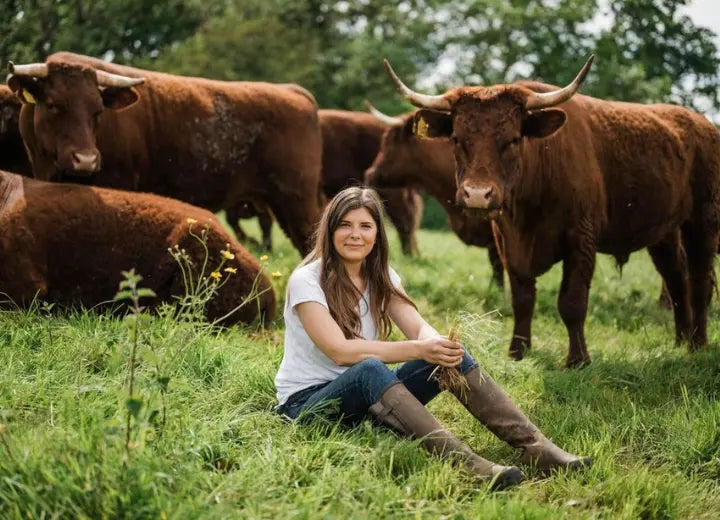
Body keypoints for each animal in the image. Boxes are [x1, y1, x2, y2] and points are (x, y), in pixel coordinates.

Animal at [386, 55, 720, 366]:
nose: (477, 195)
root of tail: (703, 125)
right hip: (665, 232)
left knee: (699, 280)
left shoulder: (581, 239)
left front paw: (578, 359)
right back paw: (680, 340)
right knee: (676, 278)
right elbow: (522, 300)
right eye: (456, 139)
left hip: (703, 222)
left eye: (513, 139)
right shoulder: (508, 244)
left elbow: (572, 302)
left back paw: (698, 344)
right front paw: (517, 351)